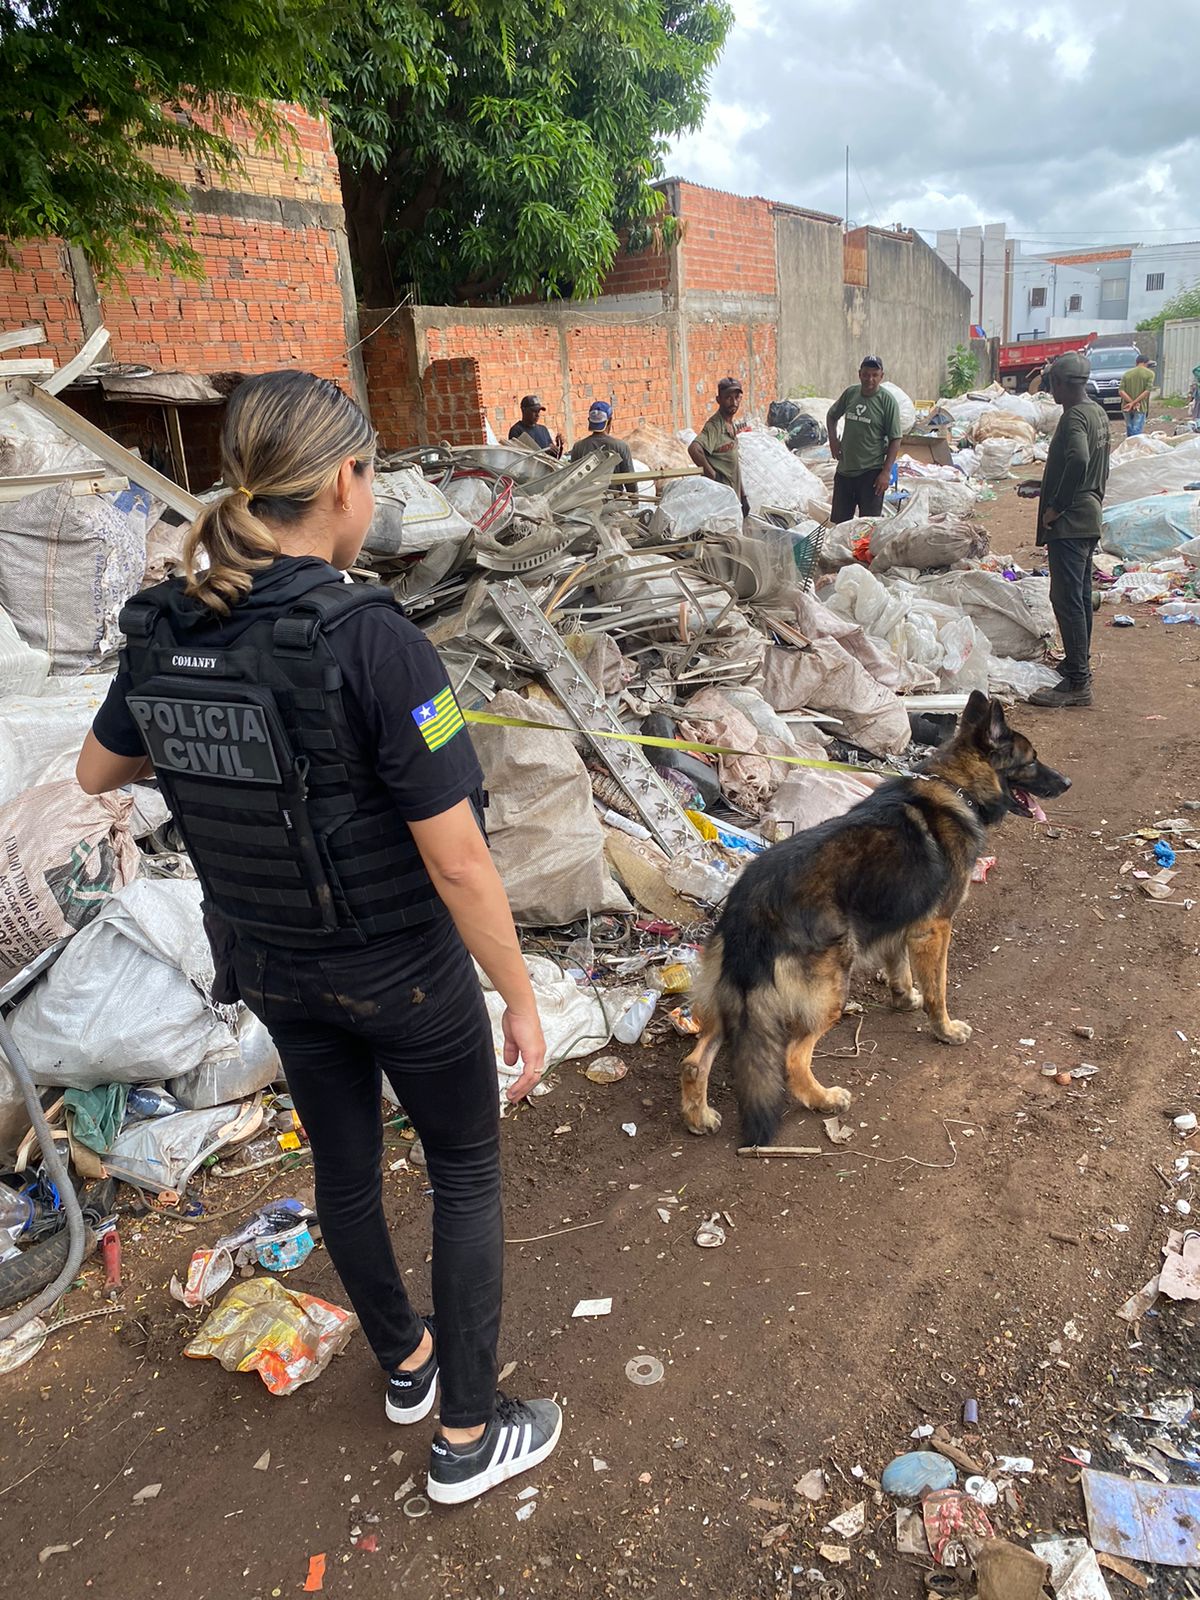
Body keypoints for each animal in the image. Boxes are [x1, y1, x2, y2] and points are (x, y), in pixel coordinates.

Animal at [681, 694, 1075, 1145]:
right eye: (1032, 760)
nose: (1067, 783)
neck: (955, 786)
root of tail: (752, 905)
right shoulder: (935, 928)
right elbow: (938, 990)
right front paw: (945, 1029)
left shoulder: (903, 923)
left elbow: (898, 965)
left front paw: (904, 998)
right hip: (830, 992)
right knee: (793, 1057)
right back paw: (824, 1099)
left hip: (730, 1001)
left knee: (694, 1060)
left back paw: (698, 1116)